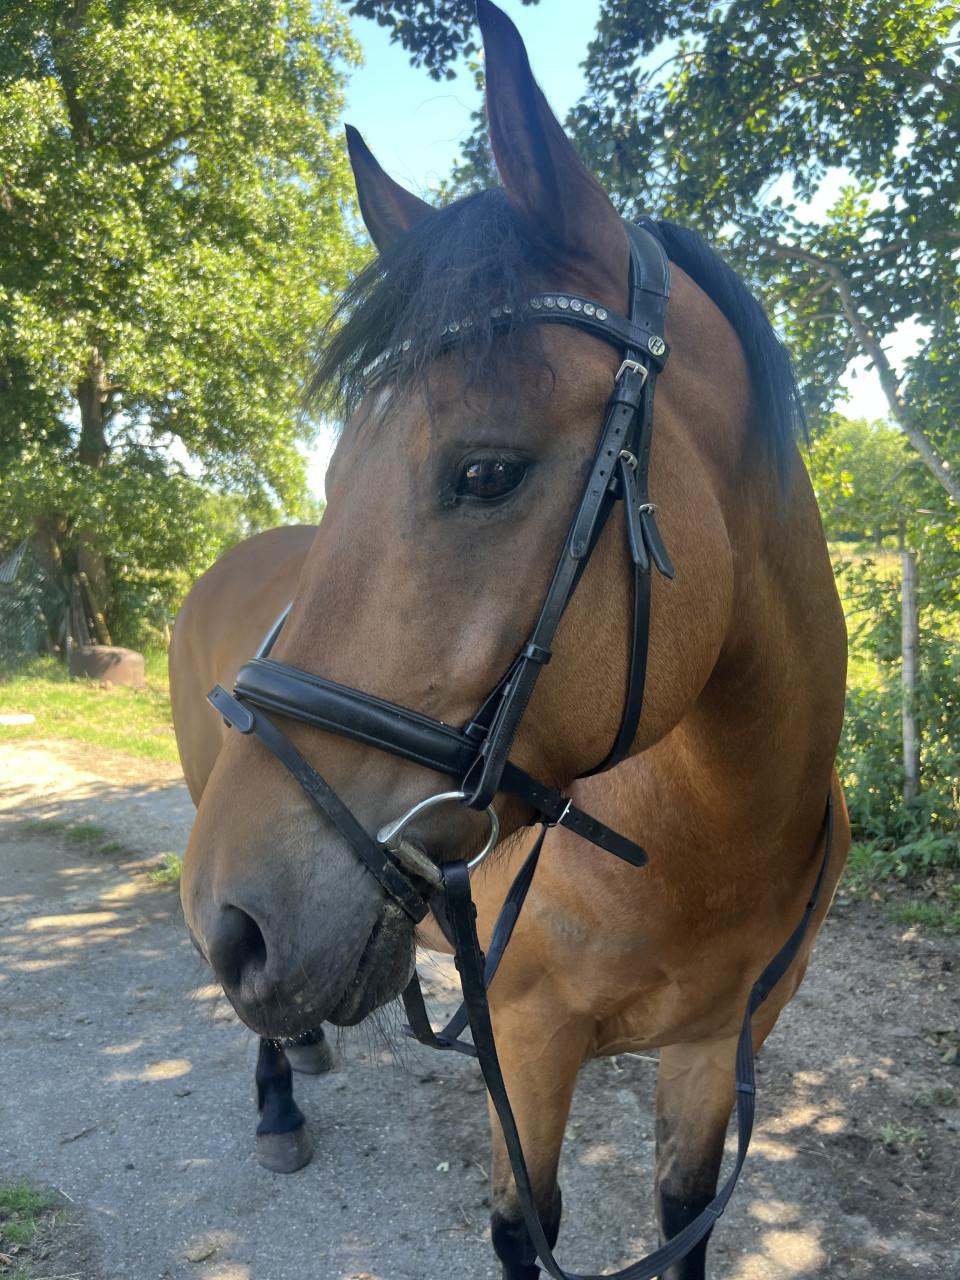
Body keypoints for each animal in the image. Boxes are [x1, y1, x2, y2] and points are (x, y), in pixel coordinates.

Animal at [170, 3, 849, 1276]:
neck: (710, 833)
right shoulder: (527, 1047)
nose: (235, 919)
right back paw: (279, 1099)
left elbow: (684, 1222)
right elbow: (518, 1229)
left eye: (485, 472)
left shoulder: (714, 1052)